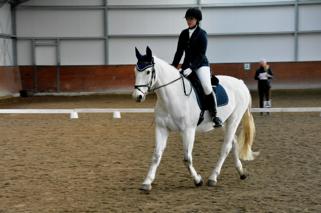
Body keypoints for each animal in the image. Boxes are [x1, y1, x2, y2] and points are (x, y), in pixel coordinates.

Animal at [132, 47, 258, 191]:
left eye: (148, 71)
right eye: (135, 71)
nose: (137, 96)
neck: (173, 96)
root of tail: (240, 83)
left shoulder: (188, 131)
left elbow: (187, 158)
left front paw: (198, 180)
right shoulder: (162, 128)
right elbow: (156, 155)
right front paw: (147, 182)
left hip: (234, 119)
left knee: (226, 147)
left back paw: (213, 178)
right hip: (225, 122)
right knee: (234, 142)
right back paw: (241, 172)